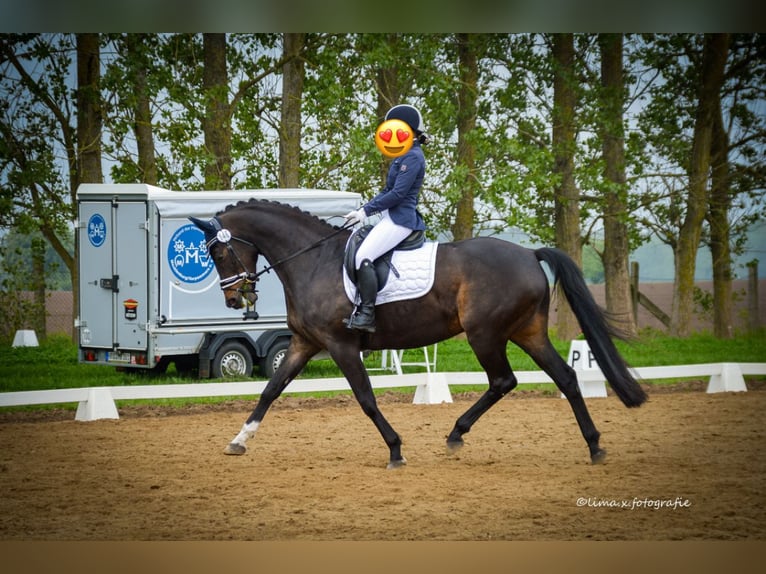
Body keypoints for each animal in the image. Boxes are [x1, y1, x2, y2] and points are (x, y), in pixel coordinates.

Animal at [189, 200, 644, 470]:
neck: (313, 261)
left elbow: (366, 400)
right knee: (565, 378)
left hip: (485, 334)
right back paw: (594, 446)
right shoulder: (305, 343)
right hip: (526, 332)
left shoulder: (341, 345)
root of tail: (530, 254)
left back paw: (456, 434)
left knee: (504, 380)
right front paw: (239, 440)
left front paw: (395, 450)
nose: (233, 298)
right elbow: (271, 390)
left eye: (217, 250)